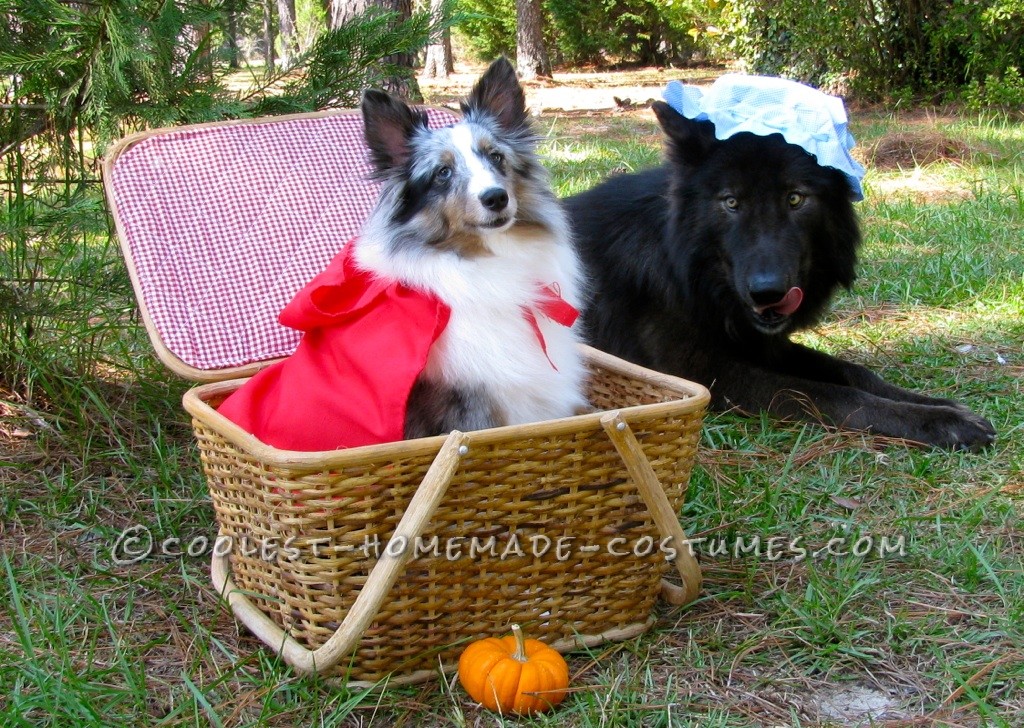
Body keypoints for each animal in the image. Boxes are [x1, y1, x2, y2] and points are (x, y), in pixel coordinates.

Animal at [565, 98, 995, 446]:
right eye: (731, 202)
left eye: (795, 198)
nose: (767, 292)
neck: (686, 270)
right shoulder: (705, 373)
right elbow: (831, 393)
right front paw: (939, 423)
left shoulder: (763, 345)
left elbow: (855, 373)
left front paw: (939, 405)